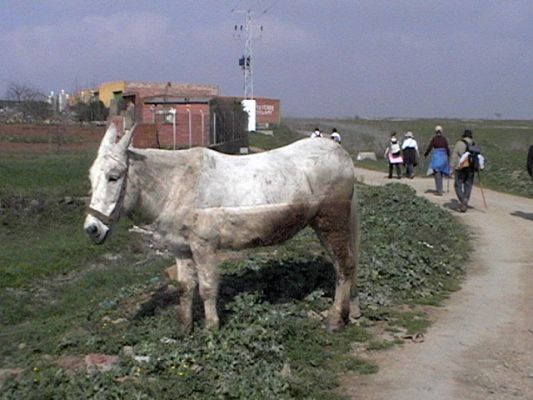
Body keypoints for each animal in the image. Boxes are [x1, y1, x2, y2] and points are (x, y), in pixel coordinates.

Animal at [84, 123, 358, 332]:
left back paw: (336, 318)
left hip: (332, 223)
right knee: (342, 265)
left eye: (114, 177)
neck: (177, 184)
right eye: (91, 177)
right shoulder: (180, 249)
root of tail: (342, 155)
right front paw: (184, 329)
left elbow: (207, 288)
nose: (92, 229)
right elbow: (185, 288)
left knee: (344, 265)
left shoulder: (204, 246)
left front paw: (211, 328)